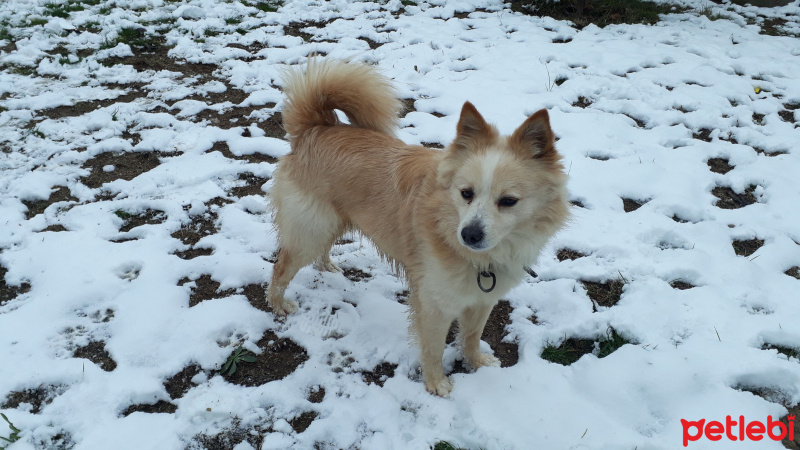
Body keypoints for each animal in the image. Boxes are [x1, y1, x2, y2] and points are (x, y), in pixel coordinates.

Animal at [268, 59, 568, 398]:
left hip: (333, 222)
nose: (470, 235)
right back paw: (278, 304)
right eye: (466, 193)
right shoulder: (434, 303)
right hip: (310, 231)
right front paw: (436, 383)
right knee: (281, 268)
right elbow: (434, 348)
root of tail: (315, 129)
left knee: (321, 250)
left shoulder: (481, 300)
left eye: (508, 201)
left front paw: (476, 362)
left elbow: (471, 336)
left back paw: (327, 266)